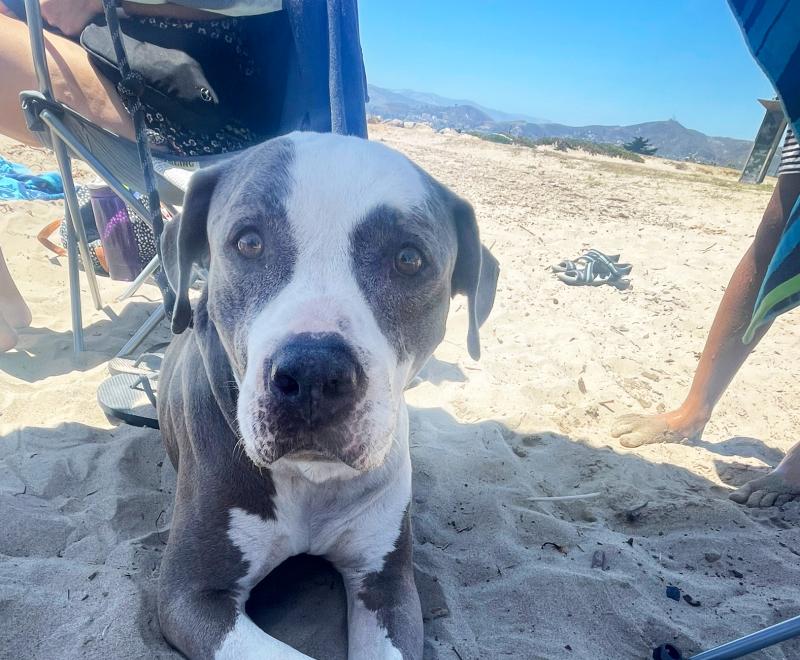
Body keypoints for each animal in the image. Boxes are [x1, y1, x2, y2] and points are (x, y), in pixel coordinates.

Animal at [158, 131, 500, 656]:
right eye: (249, 242)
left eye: (409, 258)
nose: (314, 374)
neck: (310, 480)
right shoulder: (191, 595)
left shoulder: (386, 586)